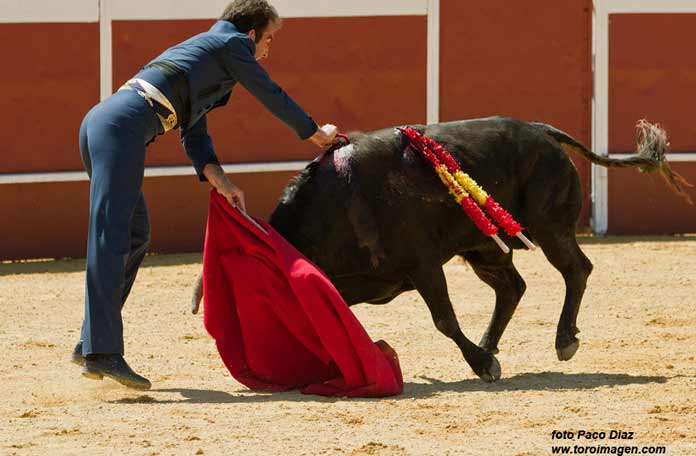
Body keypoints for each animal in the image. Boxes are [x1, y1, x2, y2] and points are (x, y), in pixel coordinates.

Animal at [189, 116, 684, 382]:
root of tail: (541, 131)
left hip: (549, 227)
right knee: (513, 288)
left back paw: (561, 341)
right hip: (485, 248)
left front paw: (481, 363)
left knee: (576, 270)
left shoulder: (424, 265)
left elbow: (443, 319)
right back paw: (490, 347)